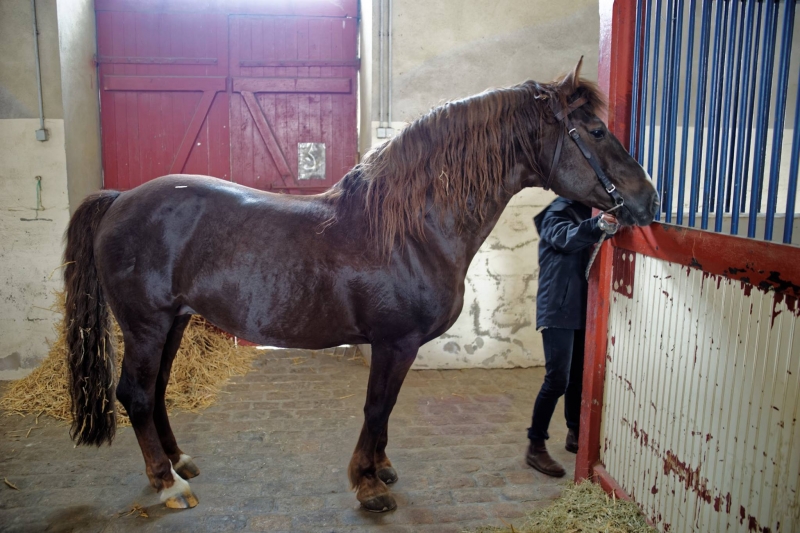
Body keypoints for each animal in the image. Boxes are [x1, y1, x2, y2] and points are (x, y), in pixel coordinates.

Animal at [64, 59, 656, 512]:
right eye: (597, 131)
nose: (648, 199)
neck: (413, 228)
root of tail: (119, 200)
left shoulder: (400, 347)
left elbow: (387, 409)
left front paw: (381, 467)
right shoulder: (394, 342)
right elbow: (376, 407)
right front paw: (369, 485)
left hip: (174, 324)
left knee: (157, 391)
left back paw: (178, 462)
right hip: (146, 326)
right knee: (135, 394)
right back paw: (167, 486)